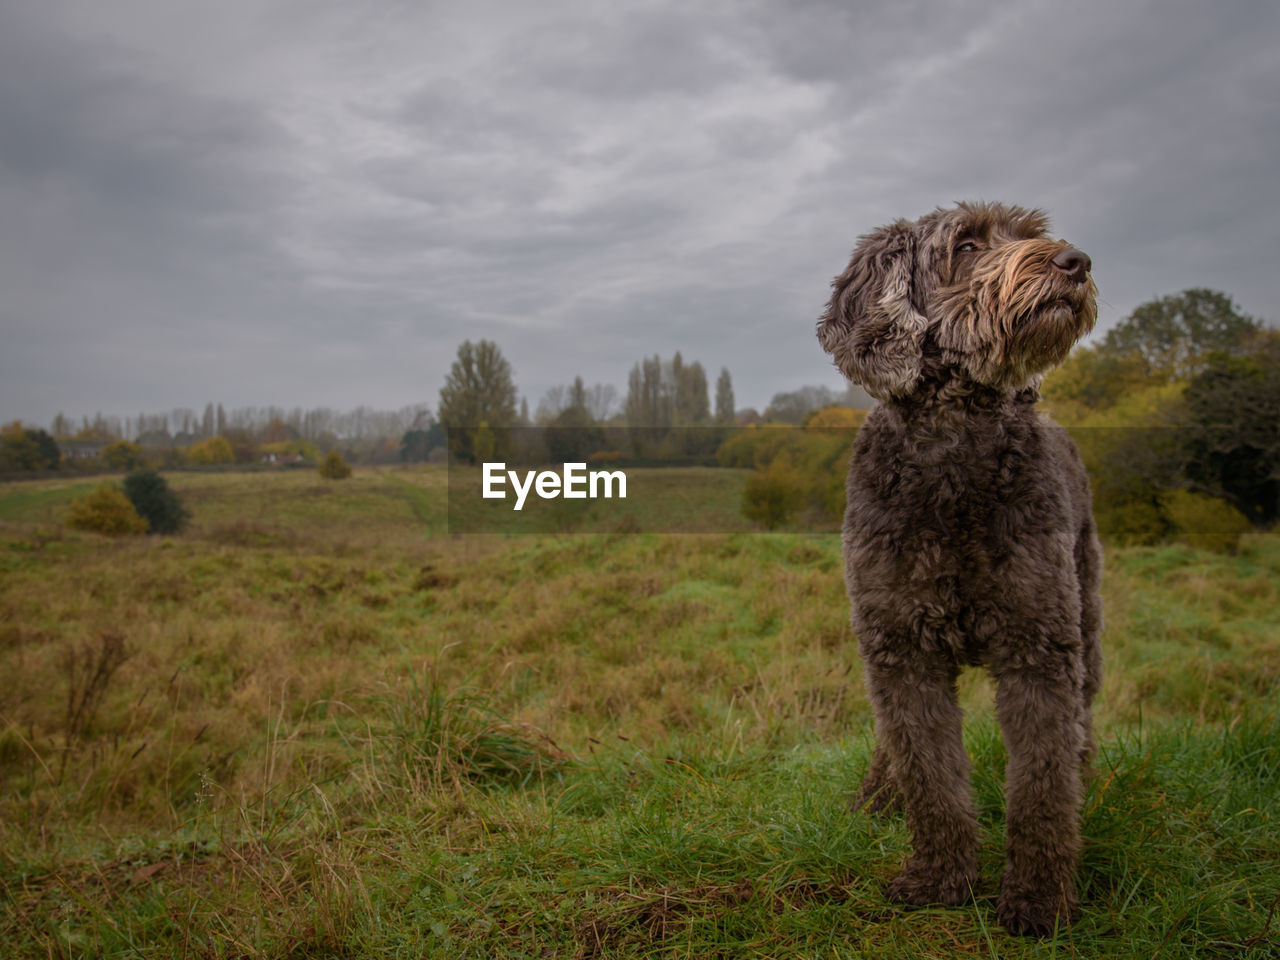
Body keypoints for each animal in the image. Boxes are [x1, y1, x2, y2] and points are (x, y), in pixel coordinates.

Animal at [819, 200, 1100, 942]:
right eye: (967, 244)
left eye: (1029, 231)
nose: (1076, 262)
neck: (954, 452)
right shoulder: (900, 647)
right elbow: (931, 777)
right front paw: (941, 878)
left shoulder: (1039, 647)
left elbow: (1042, 788)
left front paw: (1039, 898)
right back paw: (879, 792)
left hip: (1086, 618)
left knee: (1082, 720)